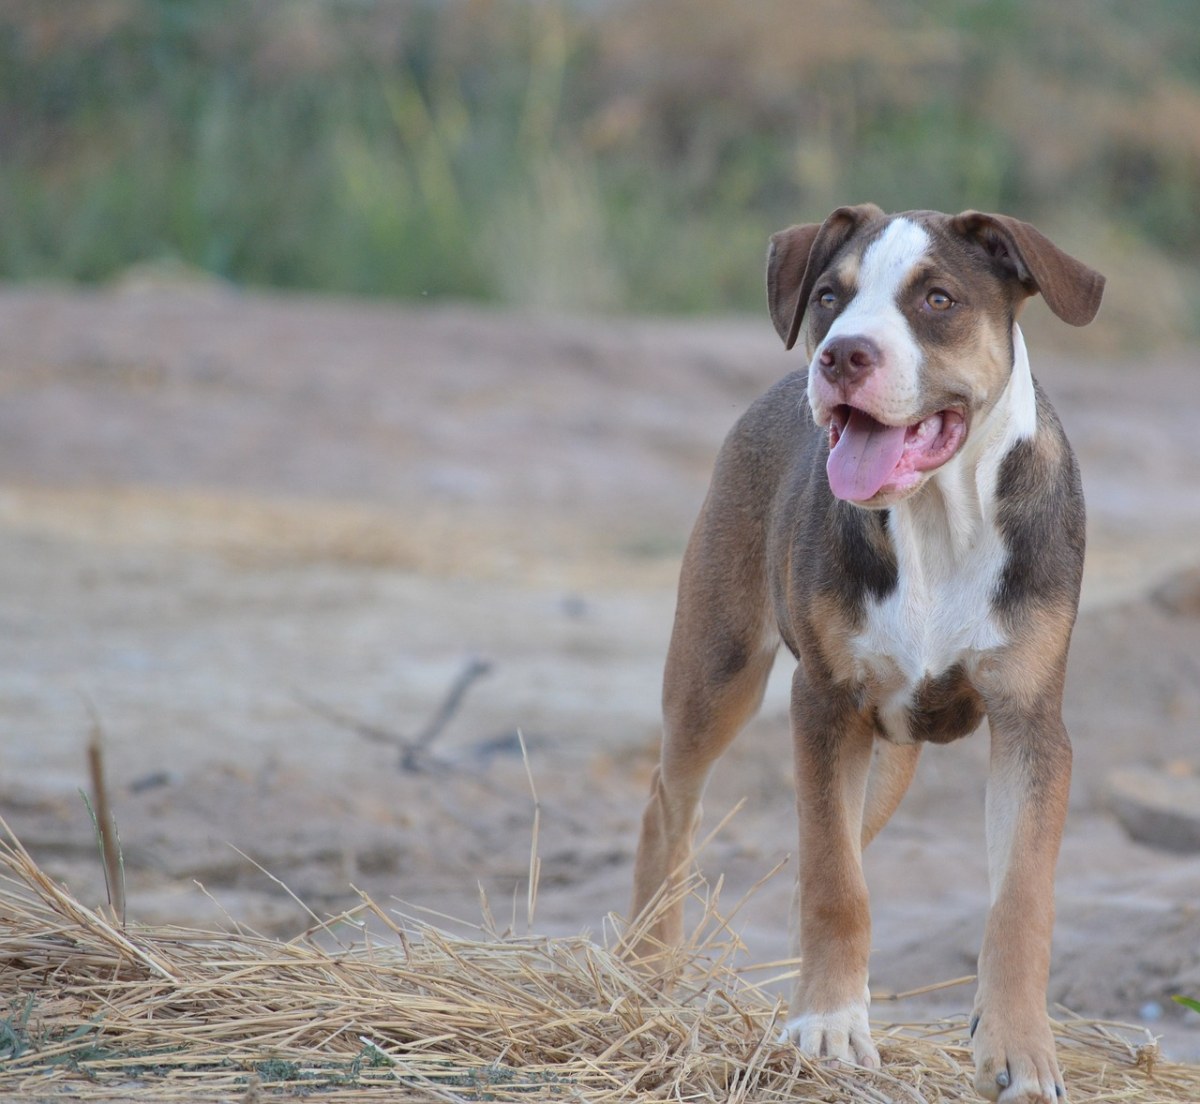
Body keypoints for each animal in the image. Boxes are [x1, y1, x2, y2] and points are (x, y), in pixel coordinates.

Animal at [628, 202, 1104, 1099]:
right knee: (670, 806)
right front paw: (829, 1025)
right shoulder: (824, 703)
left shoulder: (1033, 723)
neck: (936, 518)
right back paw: (644, 973)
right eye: (828, 295)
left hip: (886, 751)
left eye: (939, 299)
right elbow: (834, 881)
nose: (841, 353)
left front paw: (1020, 1050)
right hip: (717, 669)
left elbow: (1019, 899)